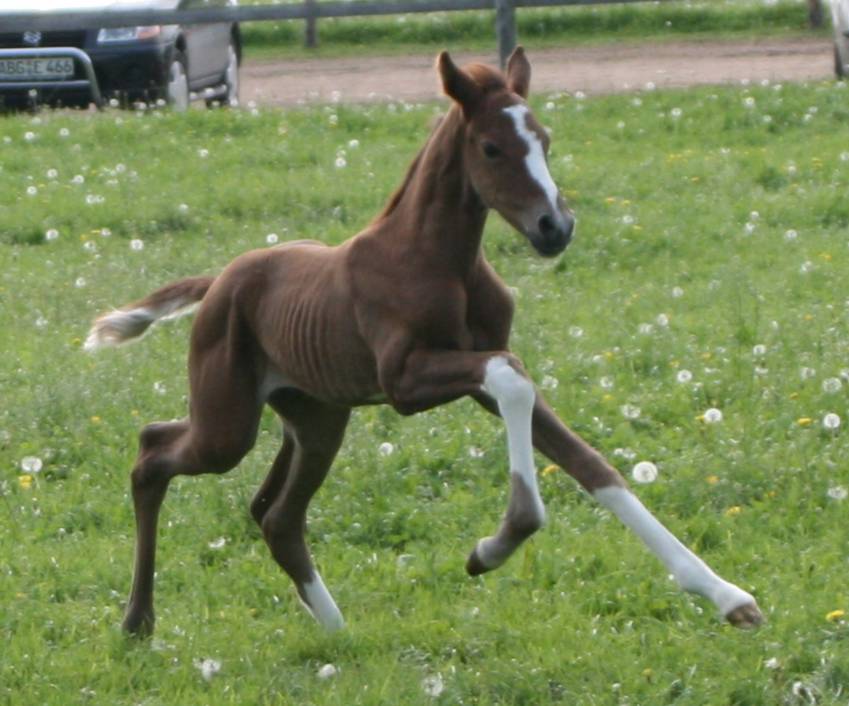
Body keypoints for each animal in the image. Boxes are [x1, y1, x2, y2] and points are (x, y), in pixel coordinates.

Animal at [86, 49, 760, 632]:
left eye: (545, 141)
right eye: (491, 147)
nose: (556, 228)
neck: (440, 260)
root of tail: (221, 280)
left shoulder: (471, 368)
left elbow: (590, 463)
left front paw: (729, 597)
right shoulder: (406, 381)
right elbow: (511, 374)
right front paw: (495, 545)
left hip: (318, 418)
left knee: (275, 516)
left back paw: (337, 632)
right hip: (228, 424)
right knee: (153, 453)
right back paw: (138, 621)